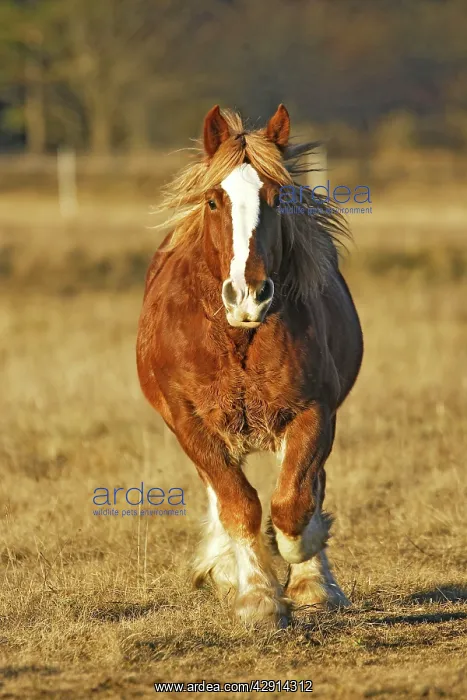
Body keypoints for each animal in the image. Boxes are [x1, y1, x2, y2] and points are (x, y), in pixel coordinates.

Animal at [136, 104, 363, 628]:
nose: (247, 296)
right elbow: (238, 503)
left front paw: (306, 567)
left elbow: (295, 501)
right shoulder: (190, 420)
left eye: (278, 198)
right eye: (213, 202)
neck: (237, 337)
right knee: (221, 493)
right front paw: (257, 597)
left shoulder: (314, 412)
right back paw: (224, 568)